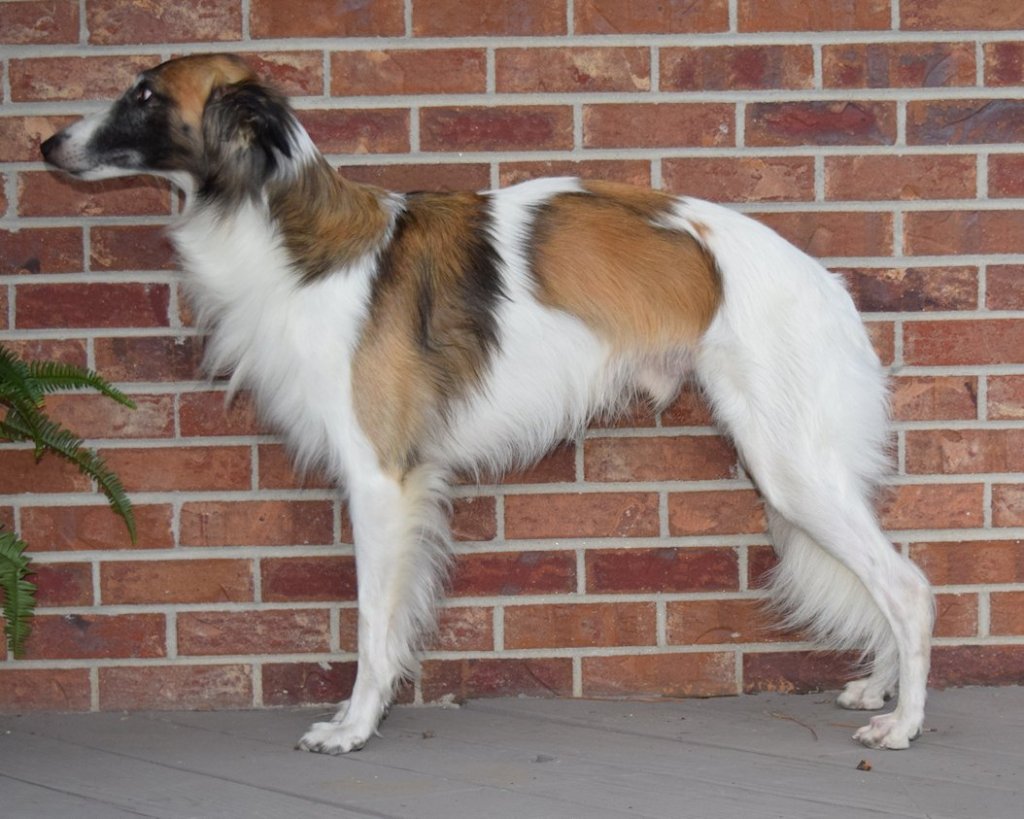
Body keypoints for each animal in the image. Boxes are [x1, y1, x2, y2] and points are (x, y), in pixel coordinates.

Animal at [41, 54, 934, 753]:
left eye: (146, 95)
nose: (45, 145)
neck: (300, 238)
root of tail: (824, 282)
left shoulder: (381, 477)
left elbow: (373, 623)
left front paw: (354, 725)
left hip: (790, 468)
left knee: (907, 585)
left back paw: (903, 722)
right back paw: (880, 687)